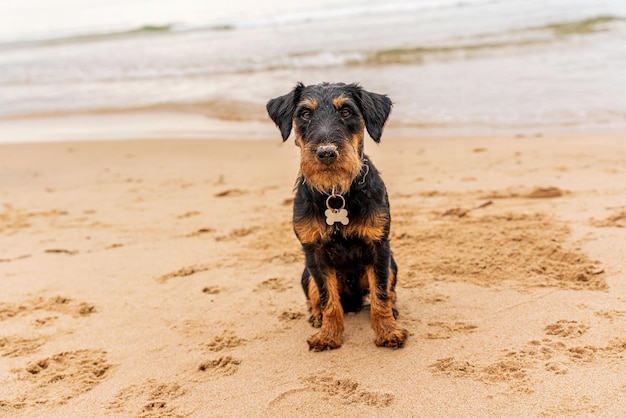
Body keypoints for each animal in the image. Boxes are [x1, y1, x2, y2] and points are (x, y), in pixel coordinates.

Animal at [264, 81, 404, 350]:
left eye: (347, 111)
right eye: (305, 113)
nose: (326, 153)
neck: (336, 194)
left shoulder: (379, 246)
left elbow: (380, 295)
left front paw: (388, 331)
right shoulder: (315, 254)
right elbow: (328, 299)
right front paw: (328, 335)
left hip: (392, 262)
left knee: (386, 292)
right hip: (306, 275)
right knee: (316, 298)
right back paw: (317, 316)